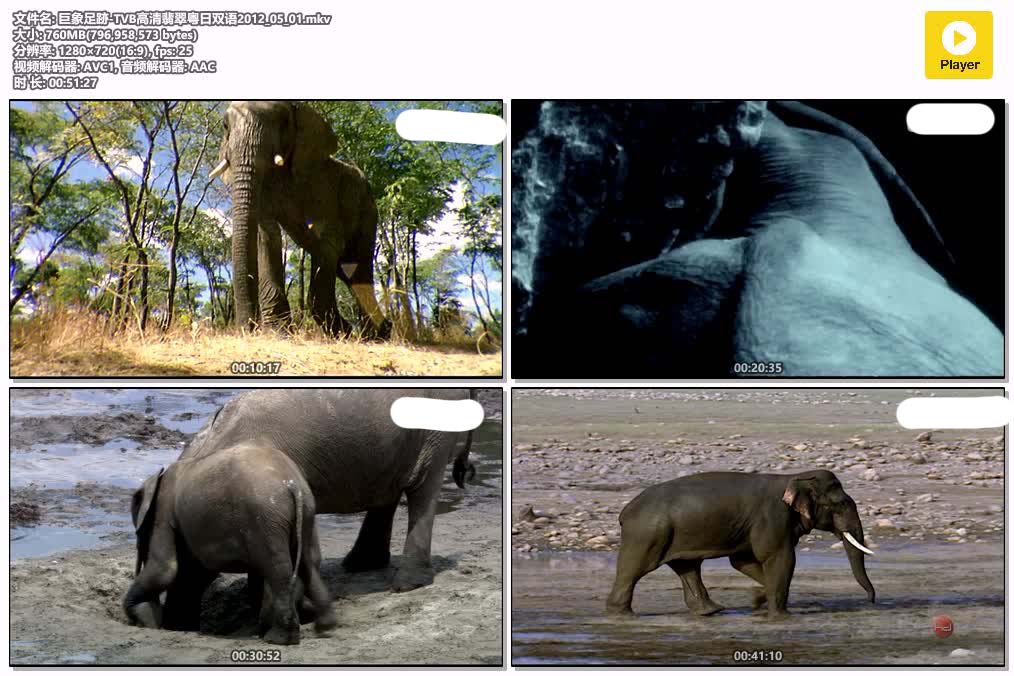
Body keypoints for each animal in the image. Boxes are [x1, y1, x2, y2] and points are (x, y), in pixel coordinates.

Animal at [124, 441, 337, 645]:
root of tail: (293, 485)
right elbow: (192, 573)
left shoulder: (163, 513)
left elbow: (166, 569)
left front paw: (142, 617)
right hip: (304, 512)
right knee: (307, 564)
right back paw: (325, 628)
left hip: (264, 518)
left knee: (278, 568)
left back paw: (278, 639)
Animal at [209, 100, 388, 338]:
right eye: (225, 125)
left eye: (283, 121)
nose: (247, 329)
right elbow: (268, 235)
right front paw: (278, 332)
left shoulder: (325, 184)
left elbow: (328, 240)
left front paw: (342, 332)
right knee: (348, 272)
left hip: (368, 210)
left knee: (359, 268)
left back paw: (375, 336)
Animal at [605, 470, 876, 619]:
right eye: (840, 504)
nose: (871, 601)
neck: (794, 478)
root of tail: (624, 511)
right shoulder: (772, 517)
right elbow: (780, 558)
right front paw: (780, 614)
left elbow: (743, 561)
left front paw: (758, 598)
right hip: (647, 534)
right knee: (633, 569)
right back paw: (621, 614)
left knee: (688, 568)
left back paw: (711, 611)